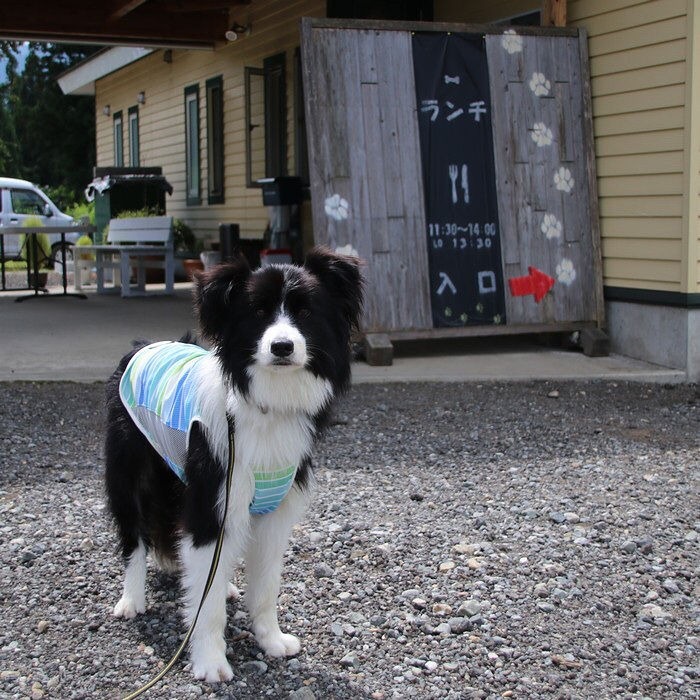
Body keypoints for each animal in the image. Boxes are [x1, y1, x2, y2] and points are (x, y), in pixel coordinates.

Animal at [106, 246, 364, 680]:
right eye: (258, 312)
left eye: (305, 312)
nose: (282, 347)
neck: (266, 404)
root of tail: (141, 346)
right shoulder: (215, 497)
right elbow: (206, 606)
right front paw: (210, 661)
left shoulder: (275, 512)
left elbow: (266, 586)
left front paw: (271, 640)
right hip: (128, 469)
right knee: (133, 535)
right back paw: (131, 599)